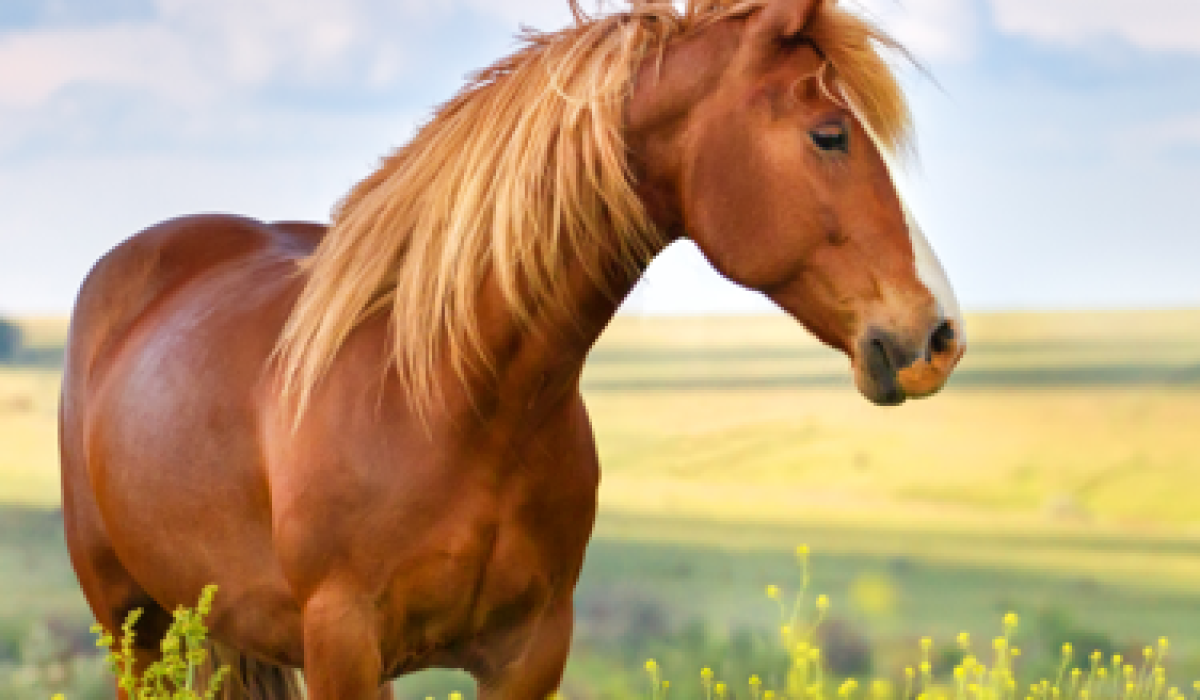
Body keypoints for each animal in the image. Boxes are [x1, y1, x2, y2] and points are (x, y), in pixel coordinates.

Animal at [59, 0, 965, 697]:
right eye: (829, 135)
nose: (940, 335)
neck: (451, 400)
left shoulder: (531, 651)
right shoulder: (344, 647)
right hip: (131, 626)